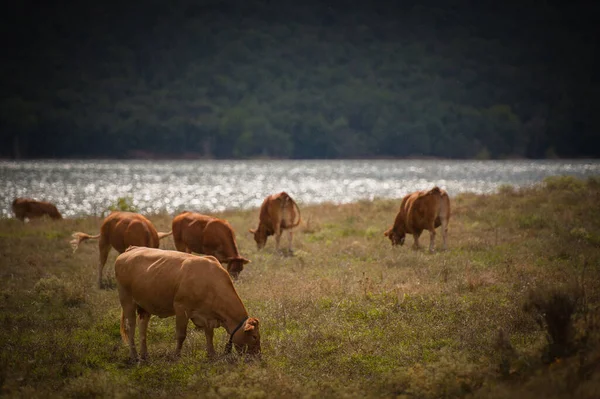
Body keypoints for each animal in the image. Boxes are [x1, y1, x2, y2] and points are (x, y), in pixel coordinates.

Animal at [115, 247, 260, 362]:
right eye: (254, 336)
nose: (258, 357)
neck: (210, 281)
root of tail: (131, 249)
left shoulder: (207, 316)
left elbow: (209, 334)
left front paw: (211, 355)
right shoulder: (181, 309)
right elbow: (181, 335)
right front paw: (176, 356)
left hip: (145, 306)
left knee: (143, 328)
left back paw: (145, 355)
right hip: (127, 301)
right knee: (130, 327)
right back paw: (134, 356)